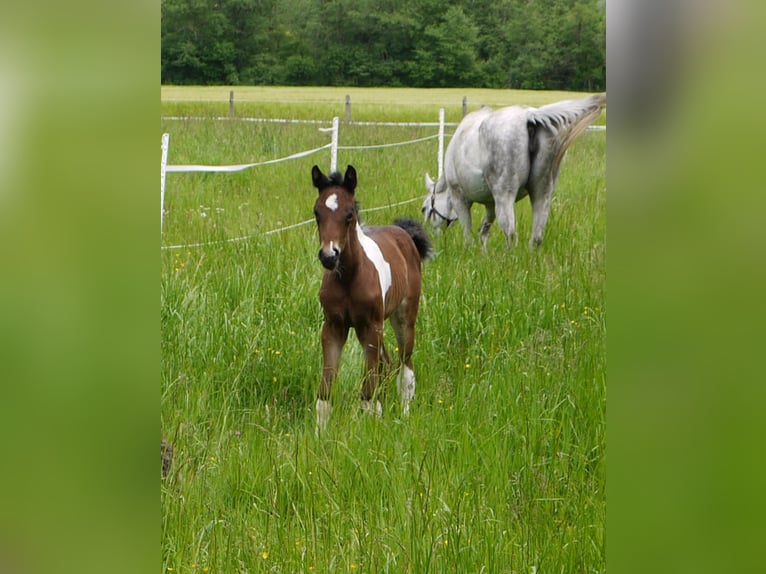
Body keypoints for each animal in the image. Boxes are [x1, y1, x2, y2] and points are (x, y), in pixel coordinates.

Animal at [311, 164, 433, 432]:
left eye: (349, 214)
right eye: (316, 213)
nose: (328, 256)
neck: (349, 278)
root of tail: (403, 232)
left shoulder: (370, 327)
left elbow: (368, 389)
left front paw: (370, 428)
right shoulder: (333, 327)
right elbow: (325, 389)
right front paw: (319, 435)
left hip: (402, 318)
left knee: (404, 367)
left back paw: (404, 416)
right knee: (386, 365)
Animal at [422, 92, 606, 248]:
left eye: (424, 208)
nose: (430, 236)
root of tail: (530, 117)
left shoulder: (459, 197)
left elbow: (468, 233)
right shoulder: (490, 204)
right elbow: (484, 231)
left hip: (505, 196)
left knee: (511, 235)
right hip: (542, 193)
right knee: (536, 237)